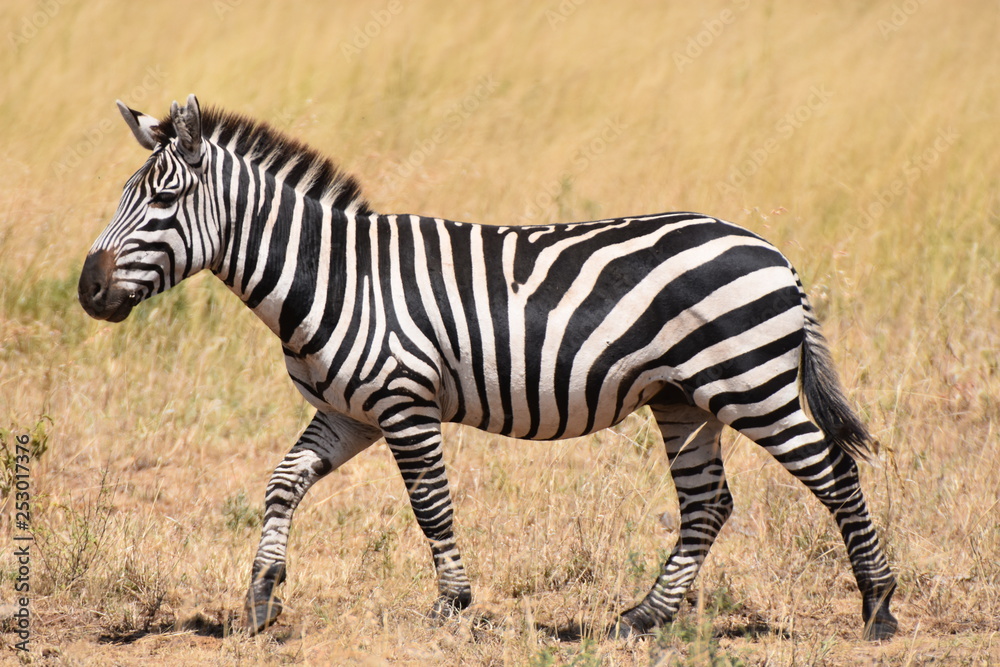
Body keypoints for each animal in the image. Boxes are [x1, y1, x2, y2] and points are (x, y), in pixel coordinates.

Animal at [78, 95, 898, 641]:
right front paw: (261, 598)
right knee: (708, 504)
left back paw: (878, 607)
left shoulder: (404, 400)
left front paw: (450, 606)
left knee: (832, 473)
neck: (332, 274)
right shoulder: (347, 411)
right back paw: (640, 618)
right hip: (683, 400)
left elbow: (430, 505)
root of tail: (774, 253)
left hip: (750, 385)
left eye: (164, 199)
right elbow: (281, 483)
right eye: (123, 195)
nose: (87, 290)